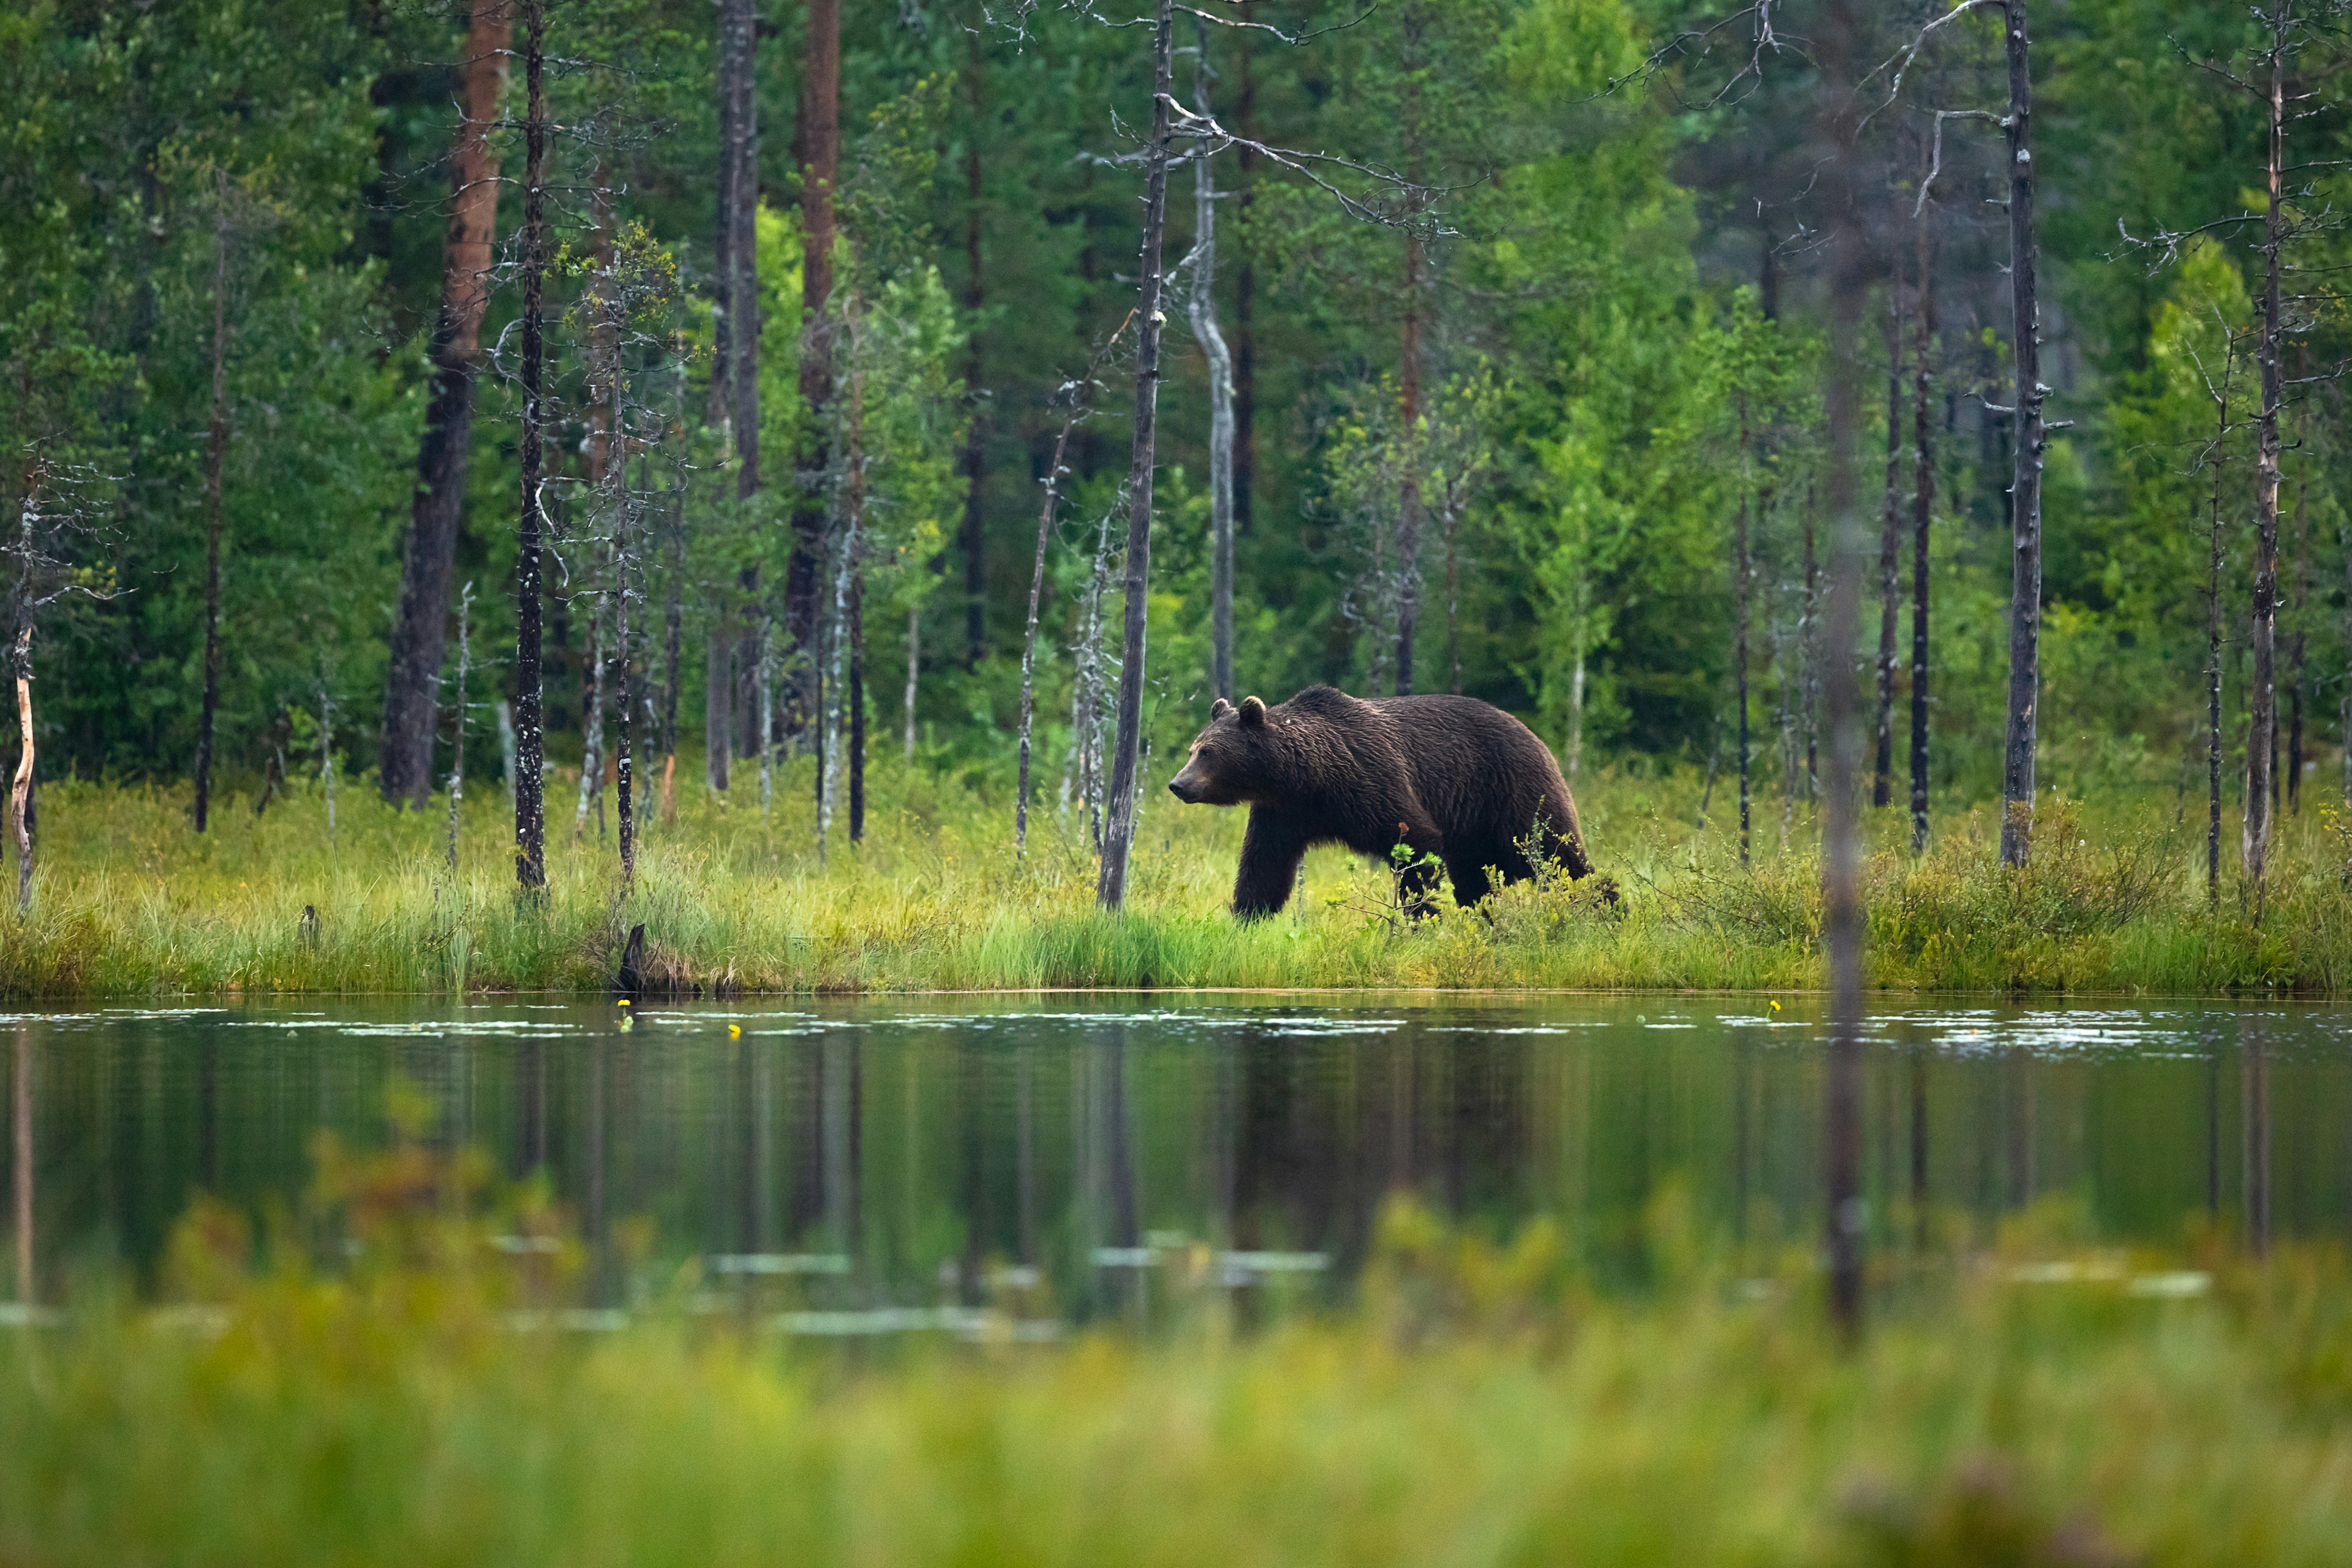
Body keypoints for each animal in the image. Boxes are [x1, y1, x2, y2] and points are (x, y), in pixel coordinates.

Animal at [1161, 686, 1599, 921]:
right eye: (1193, 749)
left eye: (1208, 753)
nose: (1177, 784)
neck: (1308, 776)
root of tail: (1537, 737)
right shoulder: (1285, 813)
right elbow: (1263, 866)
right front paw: (1245, 918)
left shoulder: (1370, 781)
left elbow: (1415, 845)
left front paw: (1424, 915)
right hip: (1473, 828)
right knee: (1477, 878)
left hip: (1511, 793)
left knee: (1557, 857)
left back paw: (1604, 906)